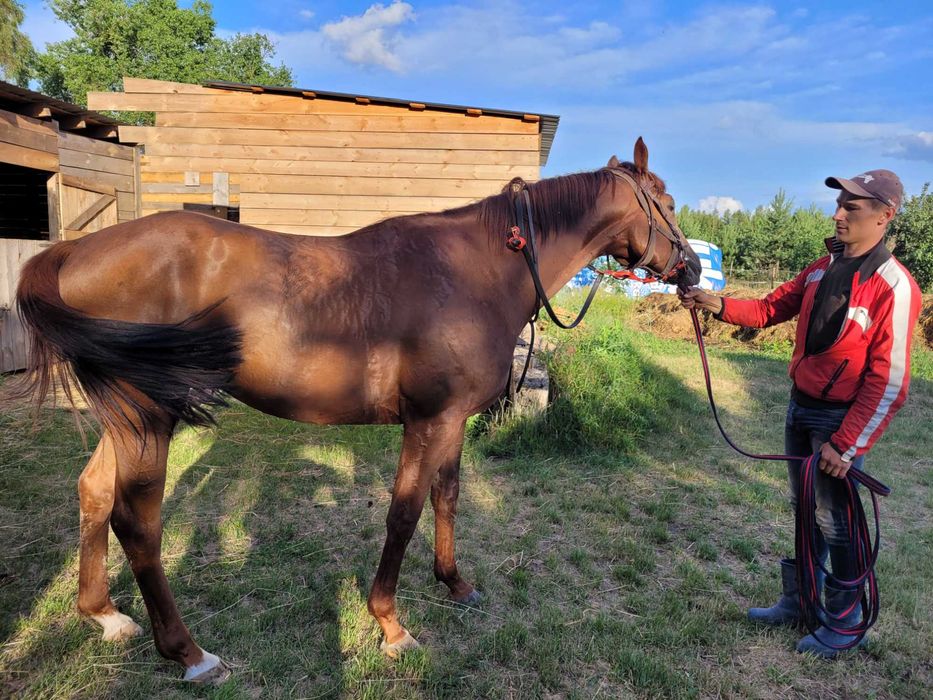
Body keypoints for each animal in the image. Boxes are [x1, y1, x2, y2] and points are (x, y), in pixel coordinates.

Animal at [9, 139, 700, 680]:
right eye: (665, 204)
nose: (693, 269)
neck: (474, 271)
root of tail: (72, 253)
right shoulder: (428, 421)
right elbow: (405, 512)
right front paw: (391, 625)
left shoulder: (453, 421)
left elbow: (447, 497)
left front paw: (454, 583)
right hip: (150, 418)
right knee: (138, 523)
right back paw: (189, 653)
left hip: (126, 420)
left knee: (95, 492)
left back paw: (103, 616)